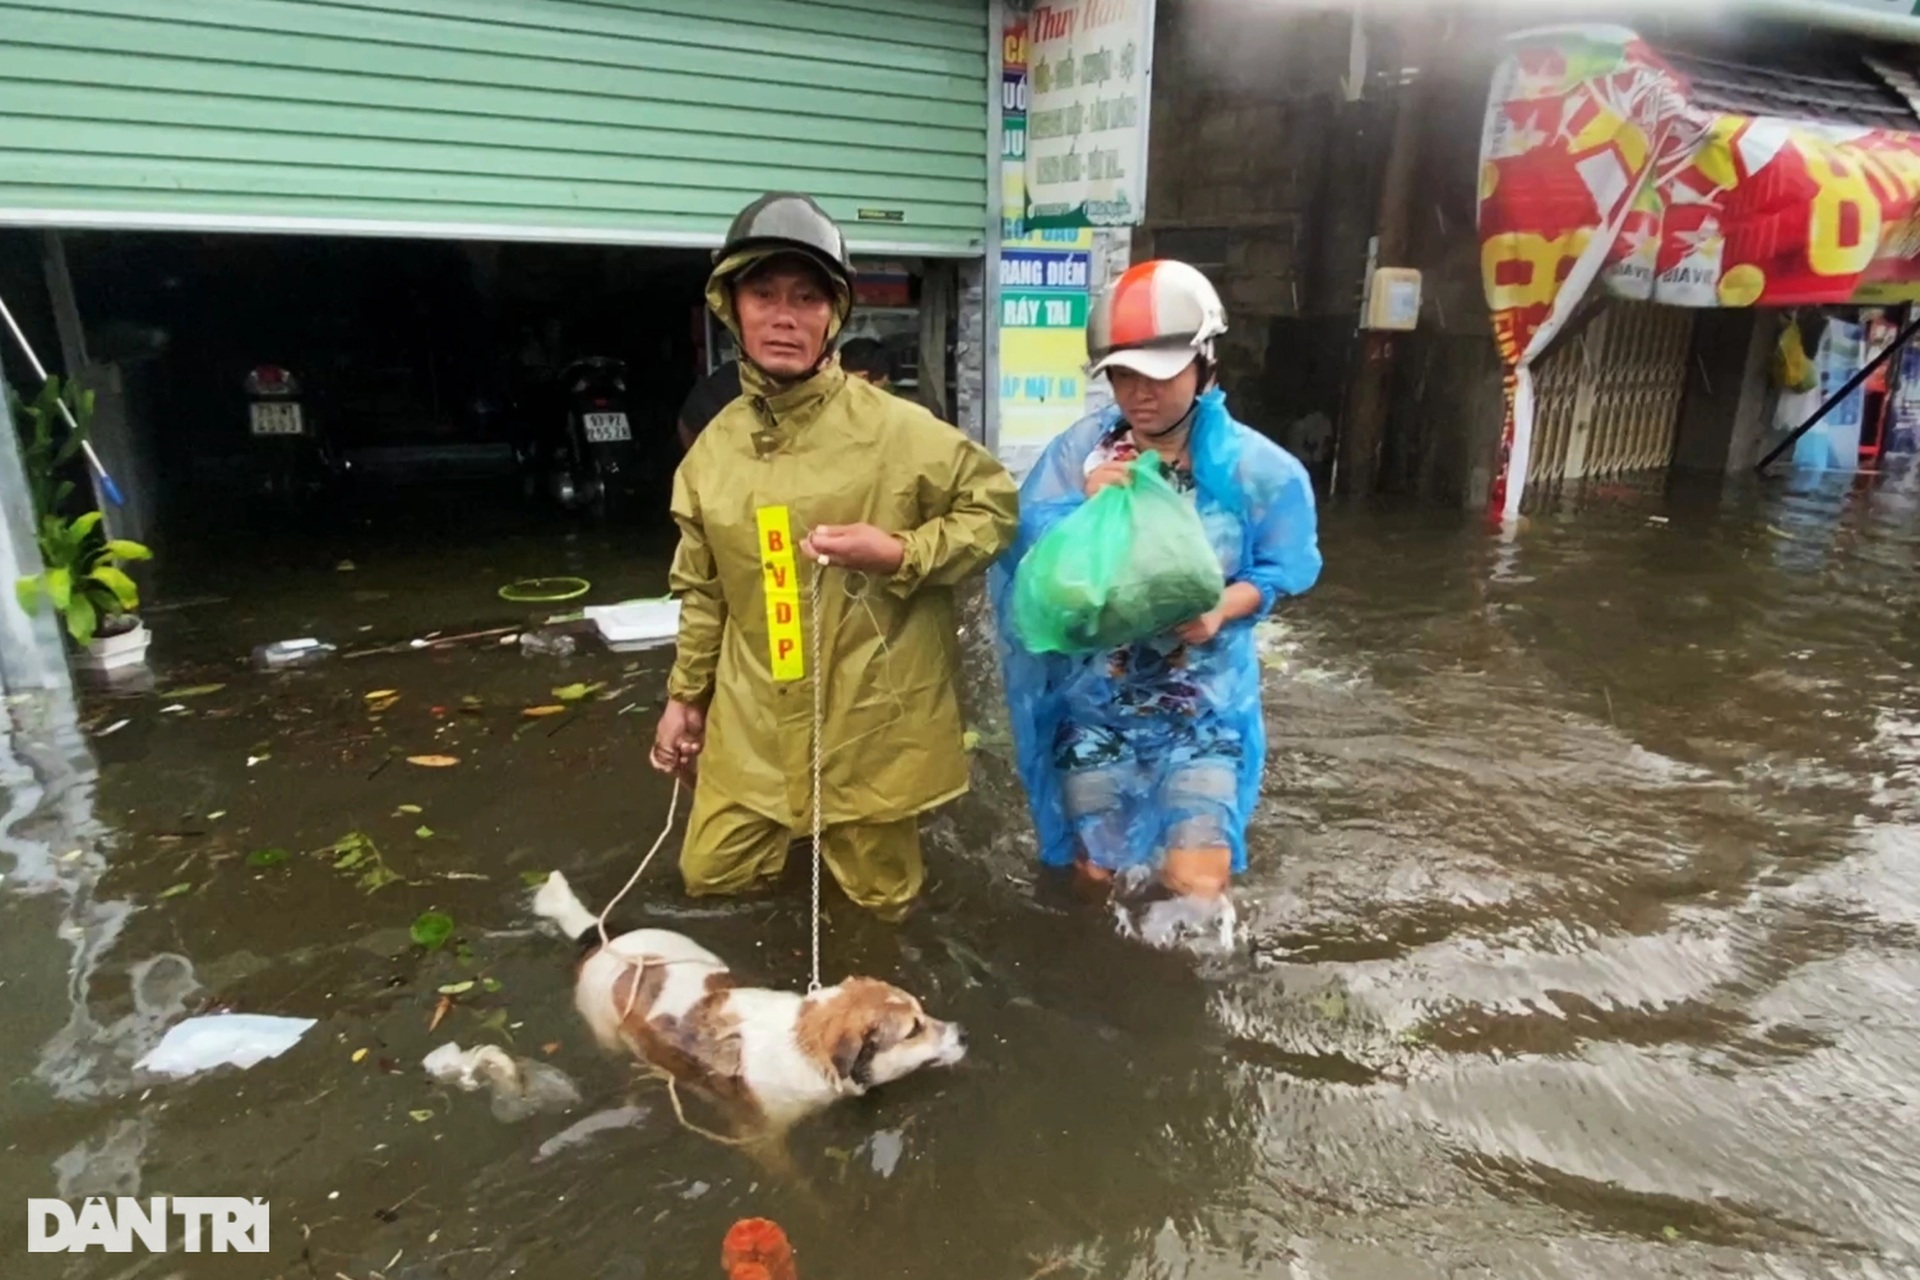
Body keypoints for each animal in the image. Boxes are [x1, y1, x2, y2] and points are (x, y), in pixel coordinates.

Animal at [533, 871, 967, 1128]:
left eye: (921, 1013)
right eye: (912, 1030)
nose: (963, 1032)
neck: (804, 1045)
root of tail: (598, 935)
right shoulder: (762, 1138)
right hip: (606, 1033)